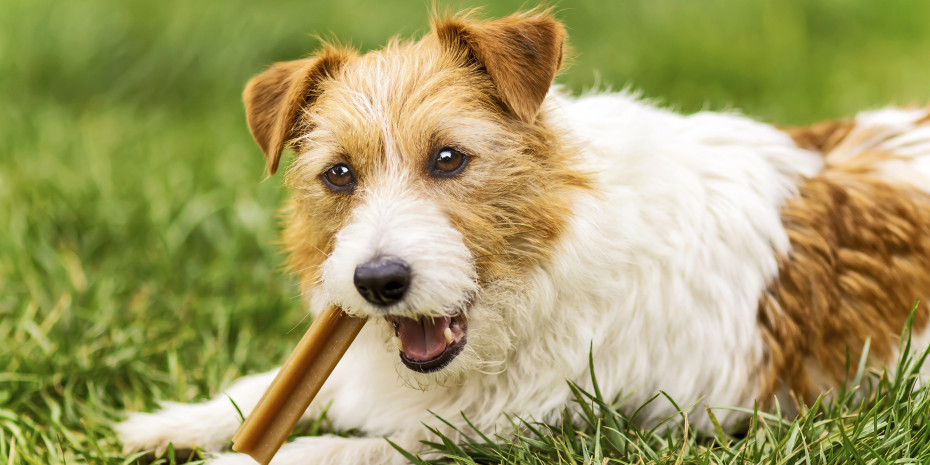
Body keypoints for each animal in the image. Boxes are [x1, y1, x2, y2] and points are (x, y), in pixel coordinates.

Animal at [116, 7, 928, 464]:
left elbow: (342, 452)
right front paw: (169, 422)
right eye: (339, 174)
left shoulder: (534, 434)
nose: (378, 282)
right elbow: (264, 389)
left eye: (449, 158)